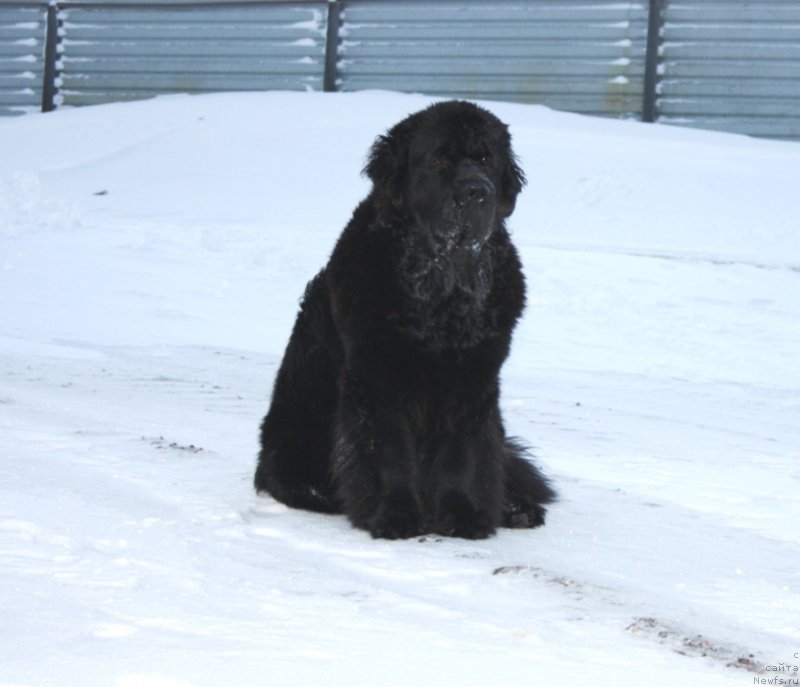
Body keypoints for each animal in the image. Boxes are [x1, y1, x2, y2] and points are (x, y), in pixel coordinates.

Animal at [258, 101, 556, 544]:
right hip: (295, 432)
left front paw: (461, 515)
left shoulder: (472, 381)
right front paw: (394, 515)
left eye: (486, 159)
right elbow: (390, 453)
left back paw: (516, 509)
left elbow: (460, 456)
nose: (477, 191)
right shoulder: (378, 379)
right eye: (440, 160)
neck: (442, 293)